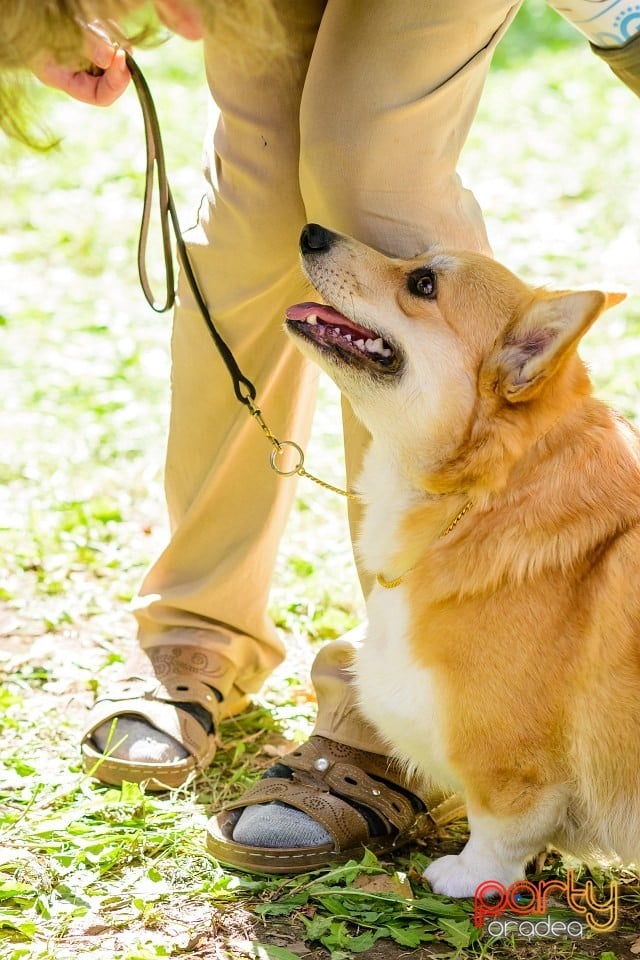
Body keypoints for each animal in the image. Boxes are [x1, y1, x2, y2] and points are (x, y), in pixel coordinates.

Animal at [286, 223, 640, 900]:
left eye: (423, 284)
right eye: (415, 261)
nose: (311, 232)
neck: (482, 496)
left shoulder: (514, 765)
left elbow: (501, 825)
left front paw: (470, 876)